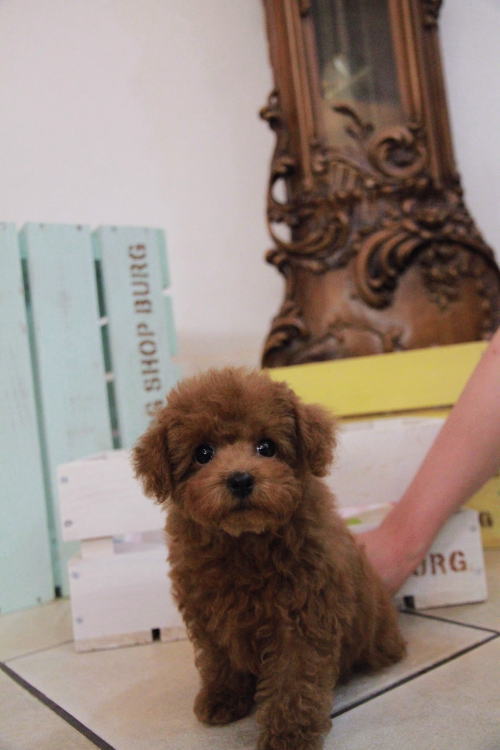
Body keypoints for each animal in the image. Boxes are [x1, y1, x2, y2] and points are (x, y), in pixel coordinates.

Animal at [134, 368, 405, 750]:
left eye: (266, 447)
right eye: (203, 453)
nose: (240, 479)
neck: (245, 541)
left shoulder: (303, 617)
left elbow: (294, 679)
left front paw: (288, 735)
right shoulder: (210, 613)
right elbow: (219, 660)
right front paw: (222, 698)